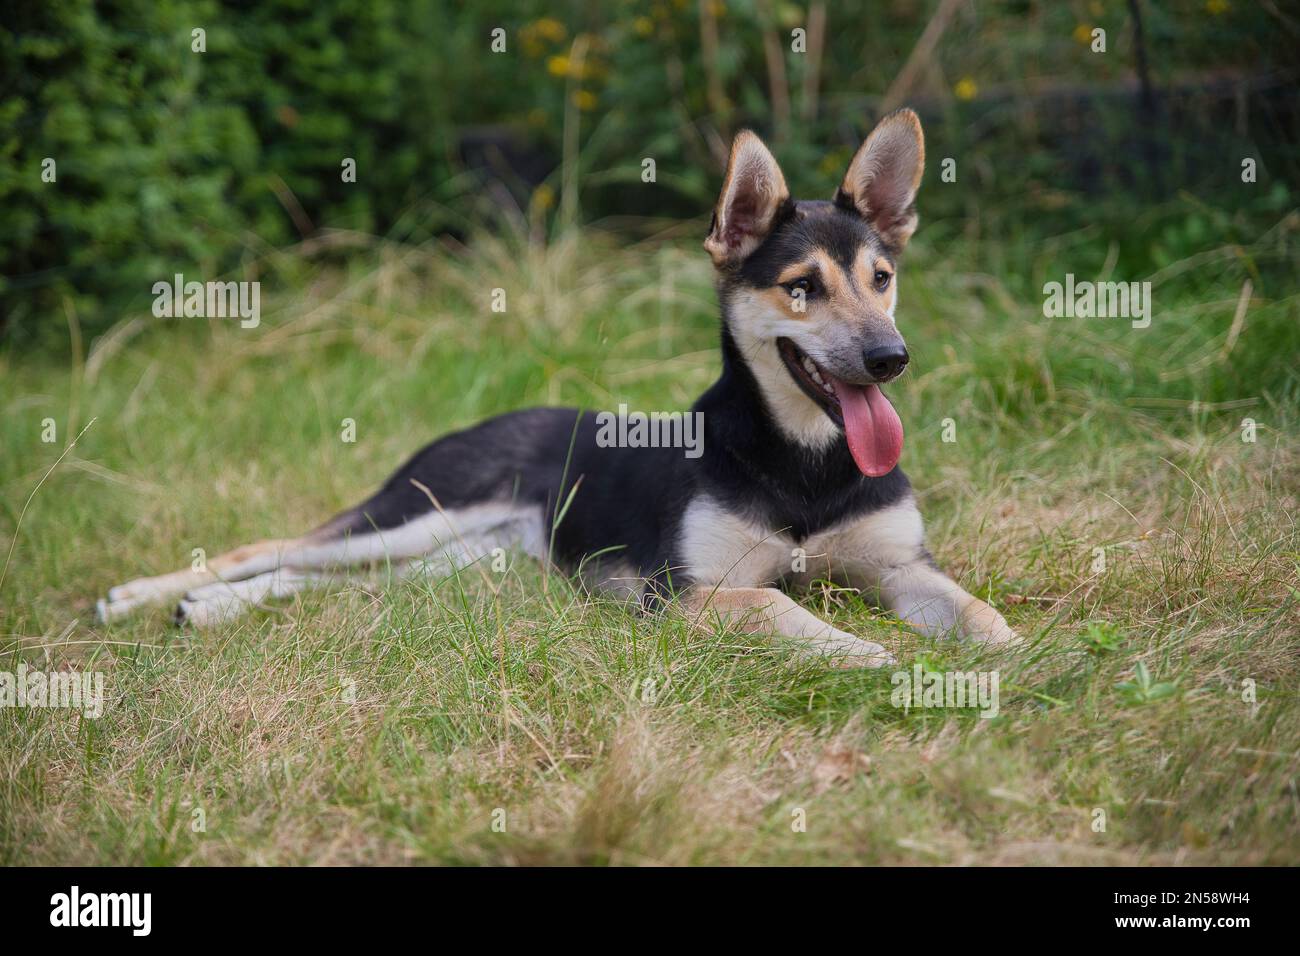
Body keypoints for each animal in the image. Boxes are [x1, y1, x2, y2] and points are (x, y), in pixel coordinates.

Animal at [96, 110, 1019, 665]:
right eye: (802, 287)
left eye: (881, 277)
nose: (891, 357)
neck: (806, 462)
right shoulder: (683, 592)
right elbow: (780, 607)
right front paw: (859, 651)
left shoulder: (901, 565)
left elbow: (973, 608)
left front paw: (1018, 653)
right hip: (422, 508)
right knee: (274, 548)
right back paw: (143, 597)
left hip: (468, 561)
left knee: (337, 584)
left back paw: (211, 611)